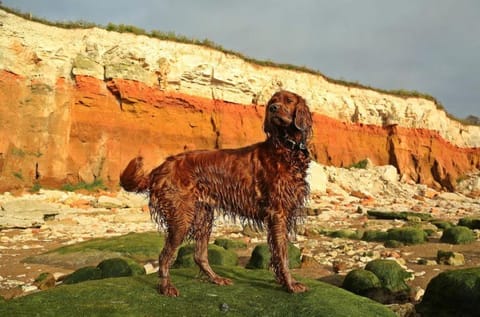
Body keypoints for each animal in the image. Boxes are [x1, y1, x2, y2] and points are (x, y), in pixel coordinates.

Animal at [121, 89, 312, 296]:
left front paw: (284, 282)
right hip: (181, 216)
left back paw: (216, 279)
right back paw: (166, 287)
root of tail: (161, 167)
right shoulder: (278, 213)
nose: (273, 109)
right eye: (272, 102)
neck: (286, 148)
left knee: (199, 255)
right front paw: (290, 284)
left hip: (204, 215)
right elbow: (283, 255)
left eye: (289, 100)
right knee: (165, 255)